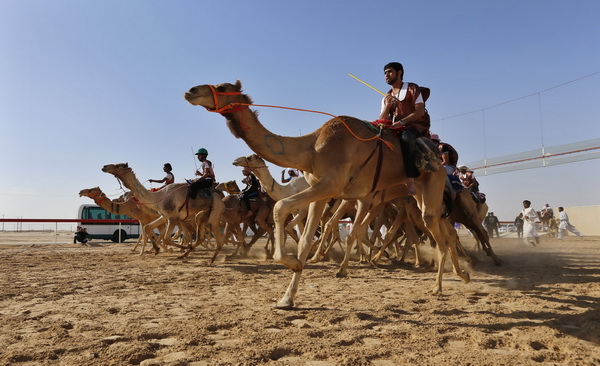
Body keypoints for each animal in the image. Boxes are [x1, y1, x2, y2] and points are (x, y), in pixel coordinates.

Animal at [183, 80, 468, 308]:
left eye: (222, 87)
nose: (191, 90)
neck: (311, 148)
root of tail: (437, 155)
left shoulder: (332, 185)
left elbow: (281, 208)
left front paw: (296, 264)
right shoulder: (320, 193)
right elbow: (306, 238)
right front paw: (287, 297)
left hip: (427, 186)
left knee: (437, 232)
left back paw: (438, 285)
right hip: (414, 195)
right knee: (441, 229)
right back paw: (460, 273)